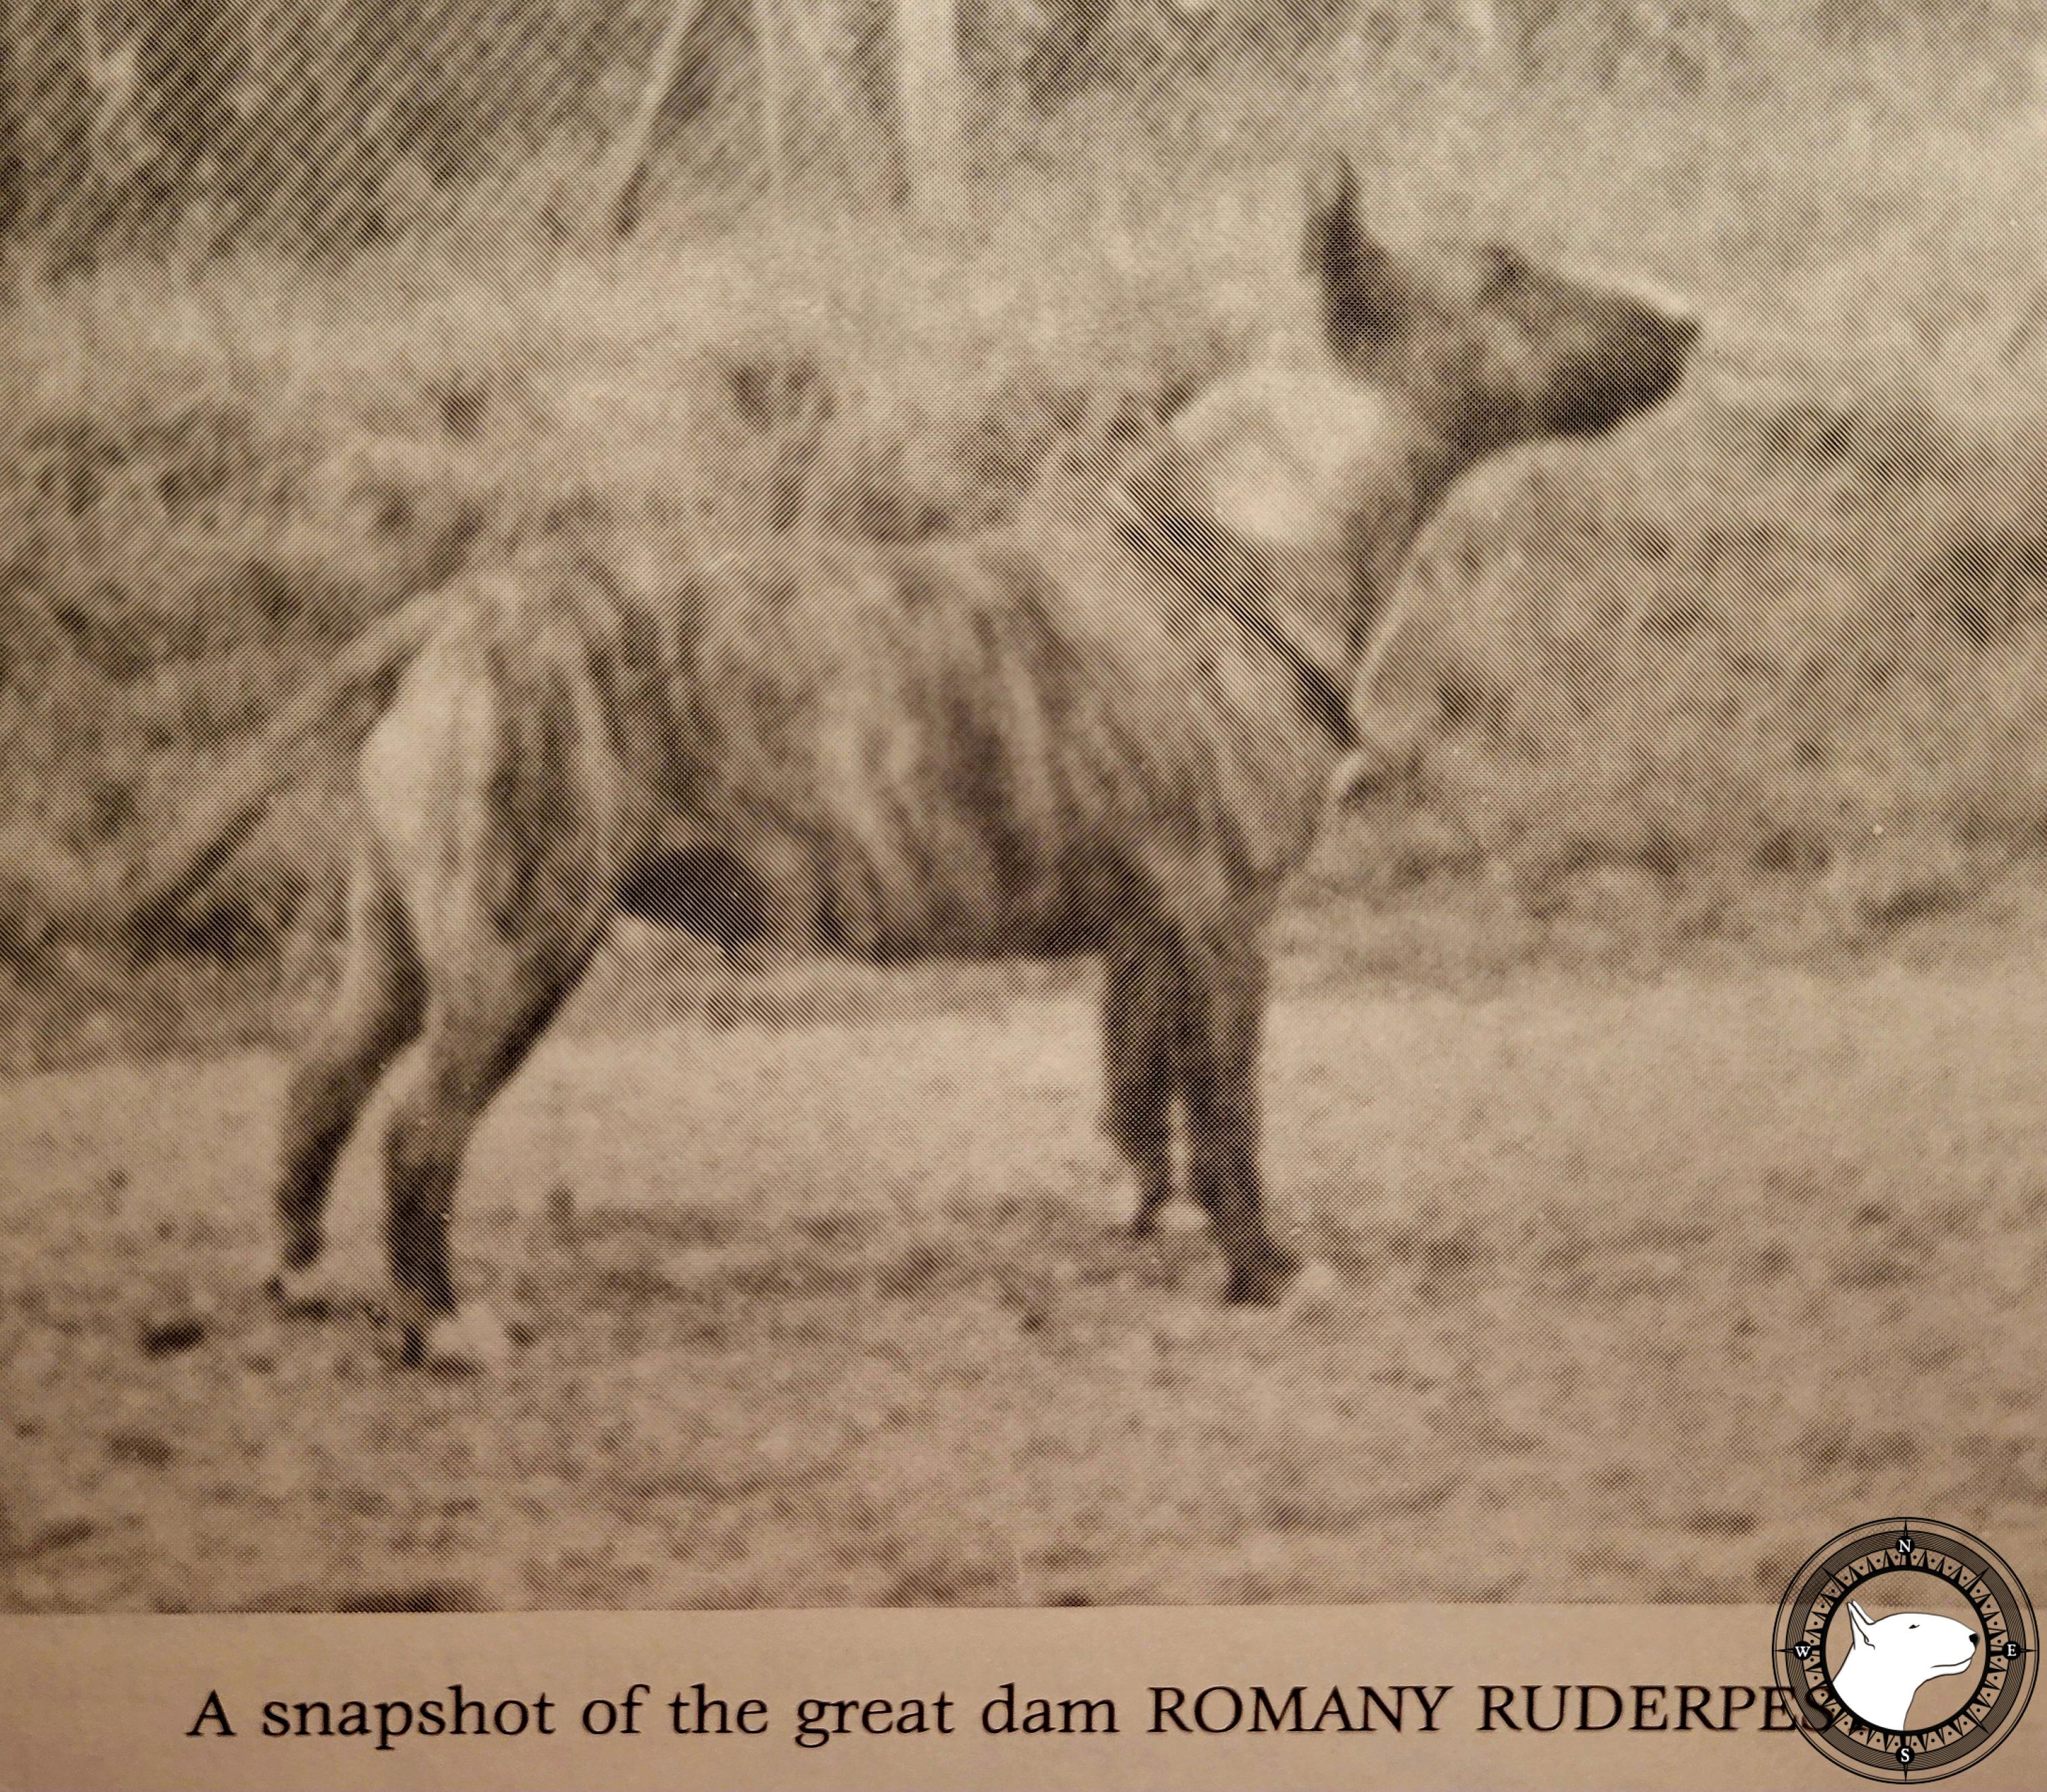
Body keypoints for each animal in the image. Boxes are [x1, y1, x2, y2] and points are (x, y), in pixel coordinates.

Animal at [124, 164, 1695, 1376]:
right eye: (1505, 274)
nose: (1688, 313)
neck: (1248, 528)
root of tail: (447, 614)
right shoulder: (1223, 920)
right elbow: (1231, 1115)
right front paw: (1264, 1270)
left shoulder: (1146, 934)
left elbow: (1144, 1103)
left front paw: (1154, 1224)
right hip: (519, 940)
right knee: (417, 1129)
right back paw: (440, 1327)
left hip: (398, 939)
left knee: (319, 1084)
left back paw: (306, 1278)